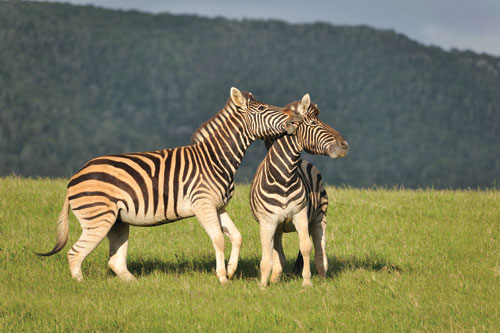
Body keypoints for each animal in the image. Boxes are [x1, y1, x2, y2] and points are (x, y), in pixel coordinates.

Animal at [37, 87, 302, 282]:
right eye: (263, 108)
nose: (295, 119)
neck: (216, 158)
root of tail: (75, 177)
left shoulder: (218, 207)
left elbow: (236, 237)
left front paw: (230, 270)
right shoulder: (203, 205)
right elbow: (218, 239)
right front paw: (222, 278)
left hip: (117, 221)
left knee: (114, 261)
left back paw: (135, 285)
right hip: (98, 218)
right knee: (75, 254)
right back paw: (81, 285)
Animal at [249, 93, 348, 286]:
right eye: (314, 123)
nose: (345, 145)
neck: (285, 178)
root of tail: (303, 162)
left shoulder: (300, 215)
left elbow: (306, 247)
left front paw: (307, 282)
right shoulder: (267, 222)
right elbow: (267, 255)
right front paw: (263, 286)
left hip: (319, 217)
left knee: (320, 248)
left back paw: (323, 279)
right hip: (278, 227)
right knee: (278, 255)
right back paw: (275, 279)